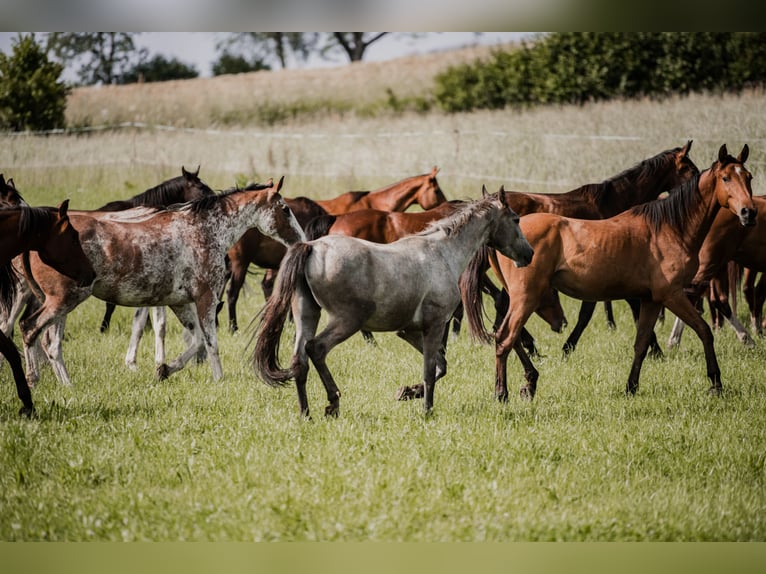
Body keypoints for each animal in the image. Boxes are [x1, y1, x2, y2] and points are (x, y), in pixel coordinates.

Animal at [17, 178, 306, 387]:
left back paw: (66, 385)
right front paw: (219, 379)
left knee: (51, 343)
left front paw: (164, 369)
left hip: (62, 304)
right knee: (30, 329)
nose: (300, 239)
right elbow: (210, 342)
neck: (204, 230)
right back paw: (34, 380)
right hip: (64, 301)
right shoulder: (206, 298)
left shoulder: (180, 303)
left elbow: (196, 341)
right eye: (284, 208)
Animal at [253, 187, 534, 417]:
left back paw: (305, 413)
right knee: (316, 349)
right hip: (347, 321)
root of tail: (311, 247)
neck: (443, 252)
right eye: (516, 219)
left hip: (307, 314)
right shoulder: (434, 326)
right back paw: (333, 402)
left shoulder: (407, 331)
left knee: (299, 361)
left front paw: (408, 392)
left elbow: (440, 366)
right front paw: (427, 410)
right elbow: (430, 370)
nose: (529, 254)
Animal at [456, 144, 755, 402]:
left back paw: (528, 381)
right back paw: (504, 391)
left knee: (507, 333)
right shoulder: (672, 295)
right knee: (505, 336)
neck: (669, 228)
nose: (748, 212)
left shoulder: (650, 299)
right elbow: (704, 331)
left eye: (748, 177)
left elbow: (641, 343)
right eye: (726, 178)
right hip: (525, 297)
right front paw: (715, 382)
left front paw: (631, 386)